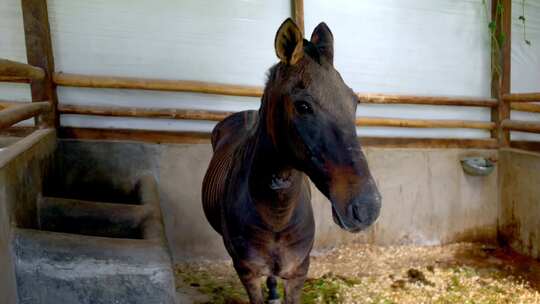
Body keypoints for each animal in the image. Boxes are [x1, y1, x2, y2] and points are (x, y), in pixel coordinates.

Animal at [200, 19, 382, 304]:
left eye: (354, 102)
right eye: (303, 106)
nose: (367, 208)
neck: (277, 215)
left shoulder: (298, 272)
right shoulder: (247, 273)